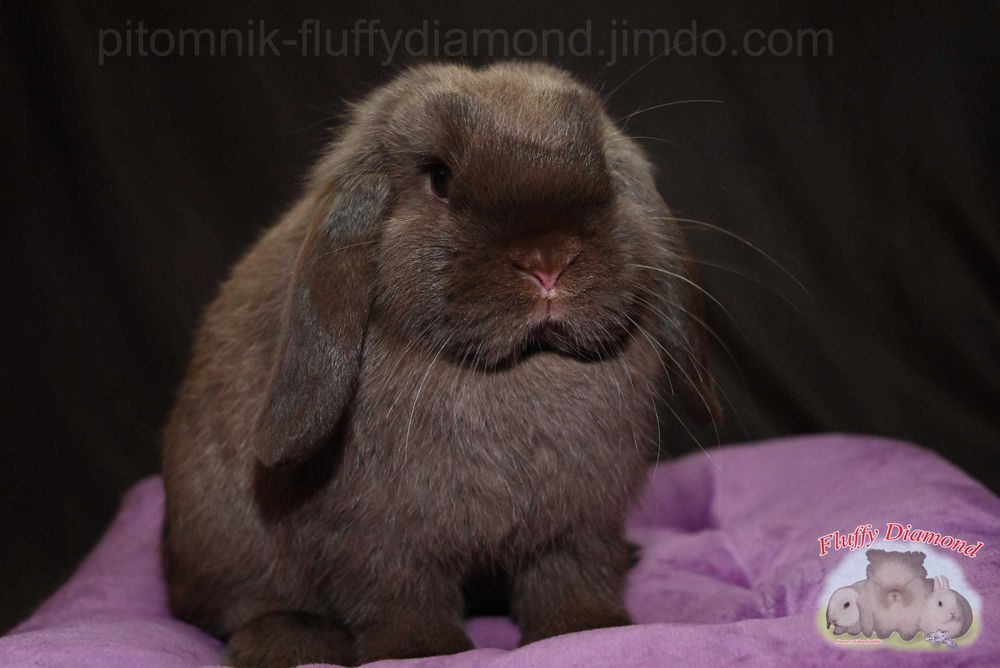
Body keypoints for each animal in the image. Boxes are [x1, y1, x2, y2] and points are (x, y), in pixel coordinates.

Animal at [161, 62, 720, 668]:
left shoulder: (577, 525)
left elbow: (568, 578)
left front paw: (587, 630)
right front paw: (424, 652)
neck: (517, 373)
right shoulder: (380, 541)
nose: (549, 261)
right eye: (439, 178)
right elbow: (401, 598)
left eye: (608, 179)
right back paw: (289, 641)